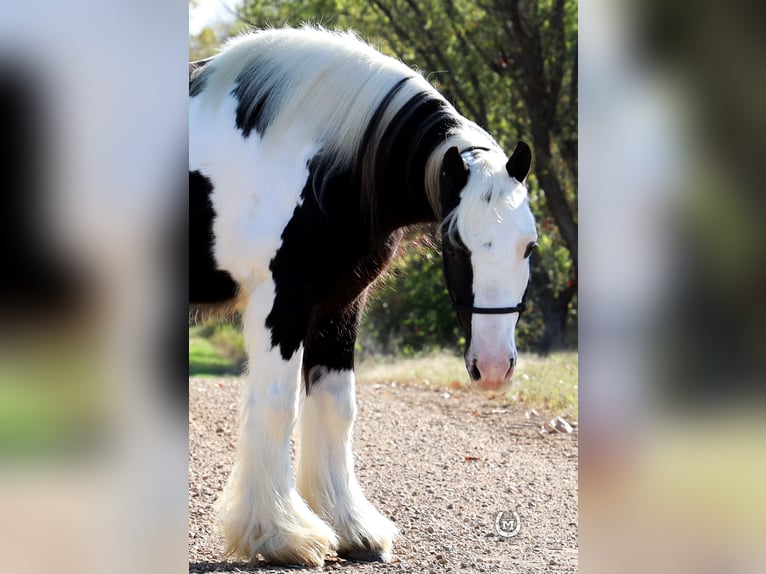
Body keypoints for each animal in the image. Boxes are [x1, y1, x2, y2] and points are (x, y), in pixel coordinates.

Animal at [190, 24, 540, 568]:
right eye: (455, 244)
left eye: (530, 245)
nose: (493, 367)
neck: (319, 158)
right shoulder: (281, 301)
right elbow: (276, 408)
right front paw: (284, 534)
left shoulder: (340, 305)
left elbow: (337, 407)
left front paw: (349, 524)